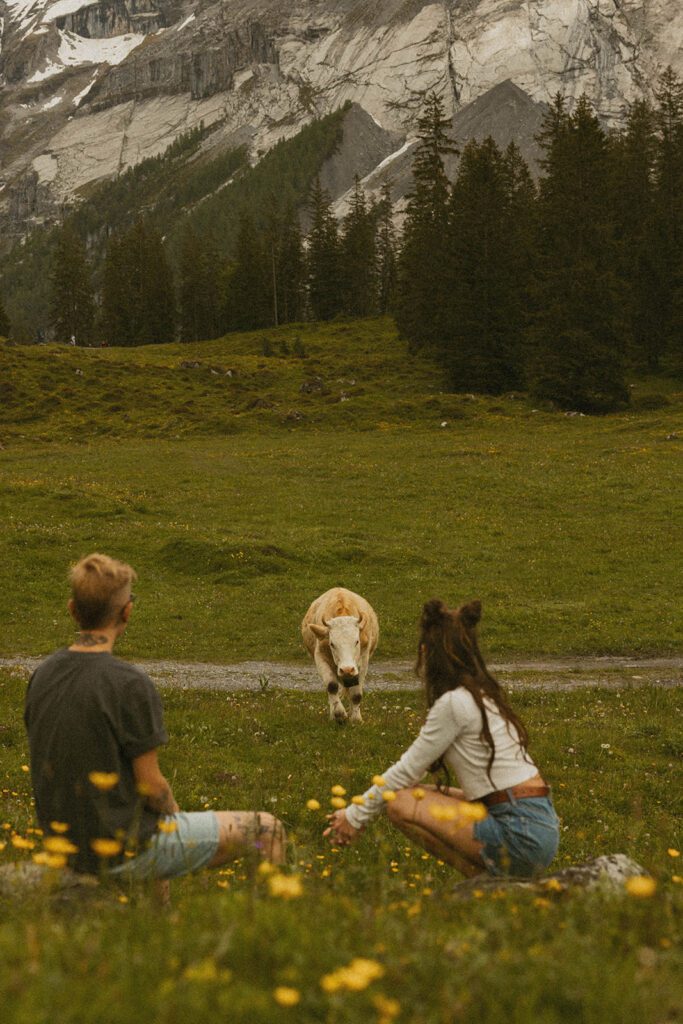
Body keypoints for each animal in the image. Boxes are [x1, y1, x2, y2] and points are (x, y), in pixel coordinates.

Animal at [303, 589, 382, 724]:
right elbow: (331, 686)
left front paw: (356, 719)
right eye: (332, 644)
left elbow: (356, 694)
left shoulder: (363, 660)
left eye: (357, 641)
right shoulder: (320, 657)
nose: (347, 669)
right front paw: (339, 714)